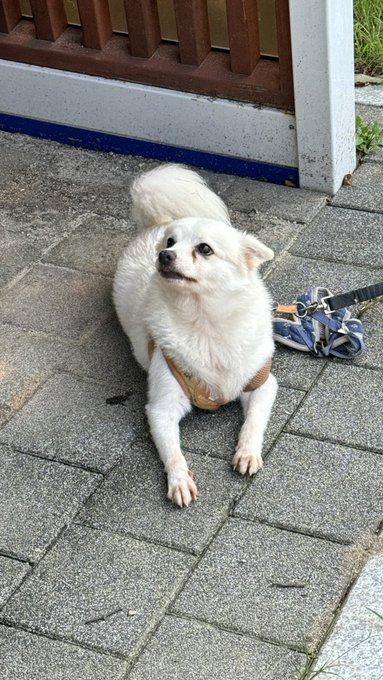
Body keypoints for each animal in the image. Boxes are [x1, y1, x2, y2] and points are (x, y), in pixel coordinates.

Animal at [112, 163, 278, 504]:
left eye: (204, 249)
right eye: (170, 243)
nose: (164, 255)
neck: (206, 322)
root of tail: (157, 224)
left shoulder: (262, 384)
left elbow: (254, 421)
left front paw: (247, 452)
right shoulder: (161, 409)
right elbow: (173, 452)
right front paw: (179, 480)